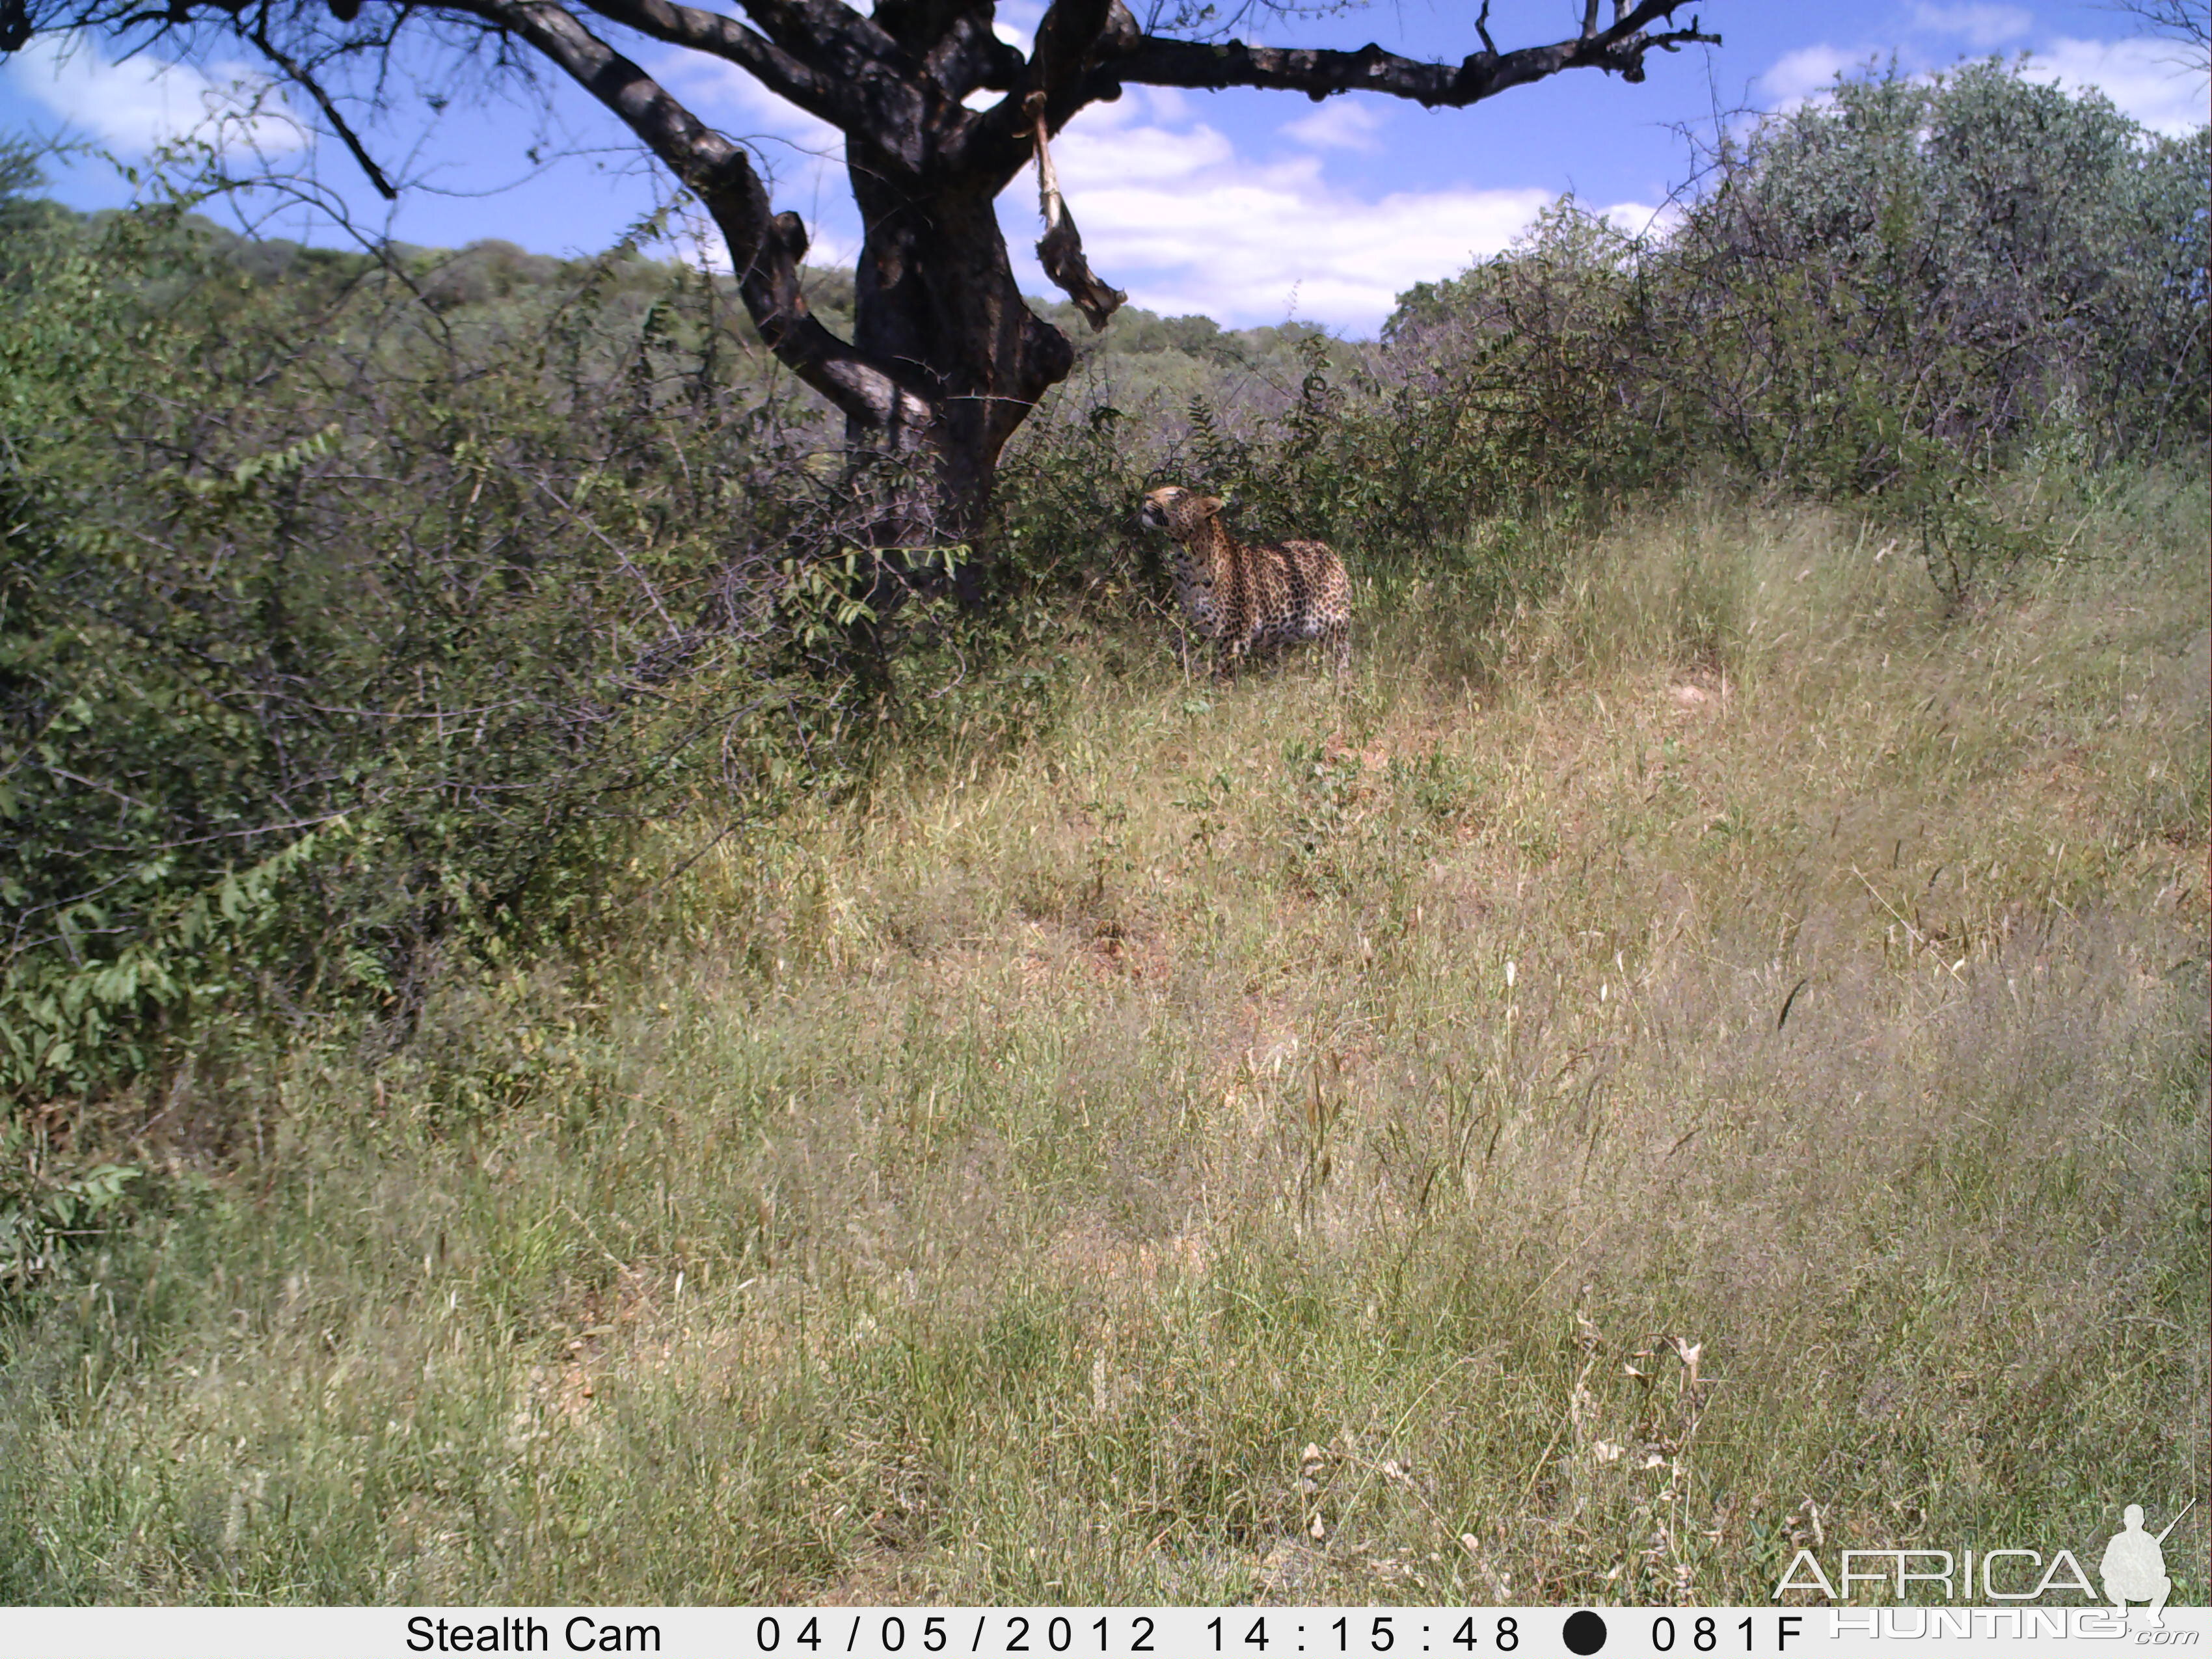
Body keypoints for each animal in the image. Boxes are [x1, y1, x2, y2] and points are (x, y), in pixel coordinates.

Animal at [1141, 487, 1345, 677]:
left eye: (1176, 495)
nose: (1146, 496)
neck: (1188, 561)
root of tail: (1327, 550)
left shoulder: (1233, 633)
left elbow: (1225, 671)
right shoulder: (1191, 626)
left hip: (1334, 623)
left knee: (1341, 654)